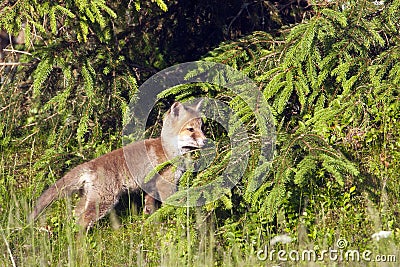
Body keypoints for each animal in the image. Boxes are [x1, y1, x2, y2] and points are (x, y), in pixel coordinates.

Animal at [30, 102, 206, 230]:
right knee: (82, 222)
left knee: (76, 215)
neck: (170, 151)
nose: (206, 141)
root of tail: (89, 164)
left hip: (88, 198)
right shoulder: (165, 184)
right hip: (105, 201)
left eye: (201, 128)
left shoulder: (151, 187)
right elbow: (171, 206)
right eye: (190, 129)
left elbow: (150, 209)